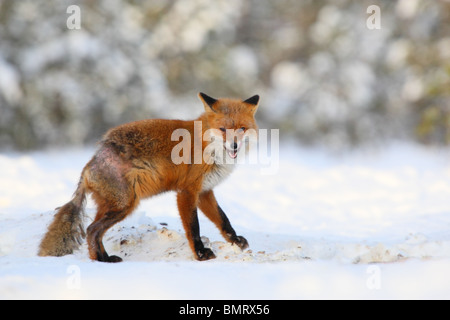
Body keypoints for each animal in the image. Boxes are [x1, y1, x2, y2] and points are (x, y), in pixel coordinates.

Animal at [38, 92, 260, 262]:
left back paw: (103, 258)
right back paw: (101, 260)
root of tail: (91, 162)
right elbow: (193, 227)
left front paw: (235, 241)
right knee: (92, 230)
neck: (207, 147)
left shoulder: (204, 191)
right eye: (223, 129)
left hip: (112, 206)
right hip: (124, 205)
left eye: (241, 129)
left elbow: (223, 220)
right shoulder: (187, 192)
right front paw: (200, 253)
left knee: (95, 232)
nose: (234, 146)